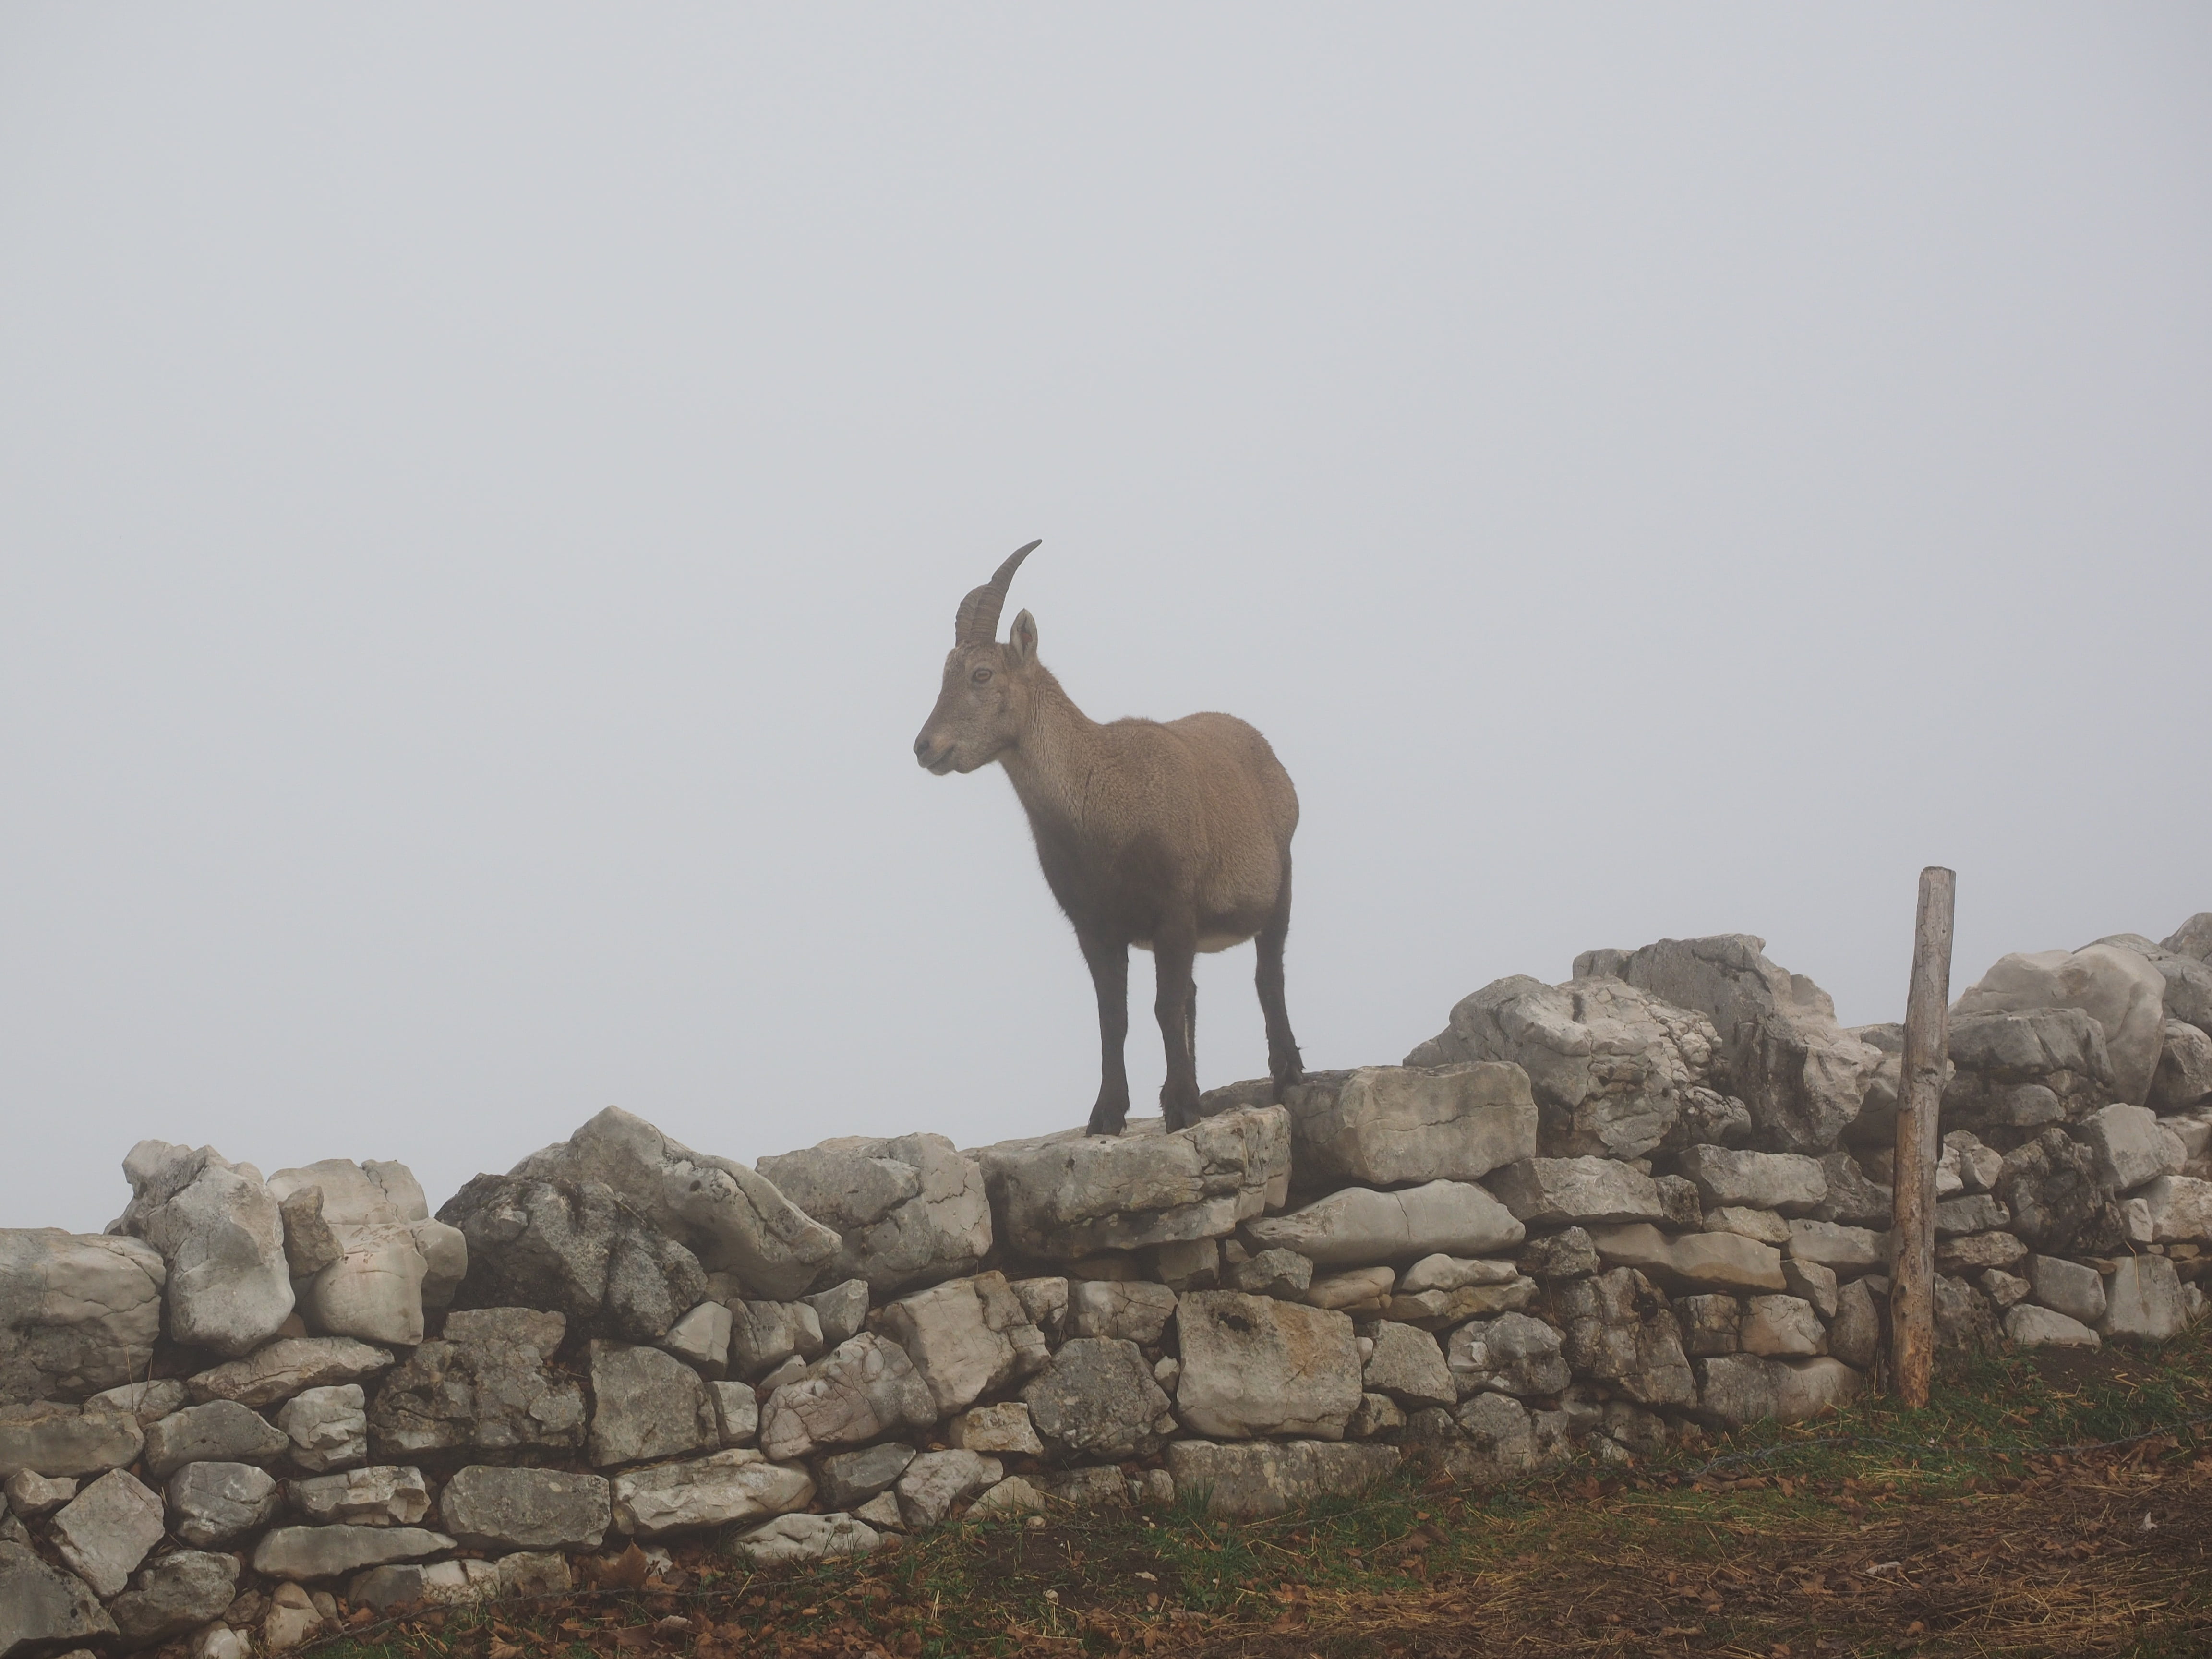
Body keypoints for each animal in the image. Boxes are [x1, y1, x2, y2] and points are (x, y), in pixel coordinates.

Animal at [912, 541, 1305, 1134]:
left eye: (981, 674)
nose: (924, 746)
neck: (1100, 795)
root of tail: (1271, 758)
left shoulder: (1174, 909)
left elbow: (1162, 1007)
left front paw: (1183, 1108)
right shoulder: (1095, 926)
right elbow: (1112, 1016)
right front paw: (1108, 1113)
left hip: (1279, 882)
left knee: (1267, 976)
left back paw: (1287, 1075)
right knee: (1194, 992)